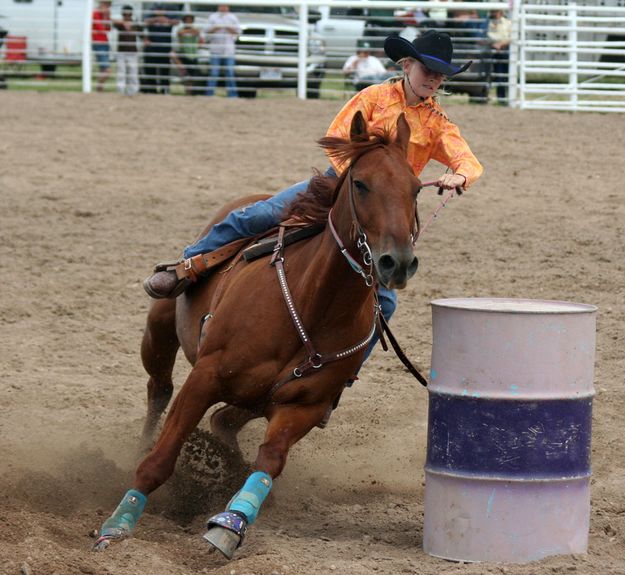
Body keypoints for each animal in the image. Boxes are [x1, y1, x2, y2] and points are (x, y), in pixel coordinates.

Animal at [95, 111, 422, 560]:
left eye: (417, 188)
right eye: (360, 183)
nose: (398, 262)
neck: (311, 305)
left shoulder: (303, 406)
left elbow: (268, 462)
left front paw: (230, 525)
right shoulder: (204, 378)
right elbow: (160, 459)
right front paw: (117, 526)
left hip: (253, 398)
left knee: (223, 422)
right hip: (159, 331)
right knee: (159, 390)